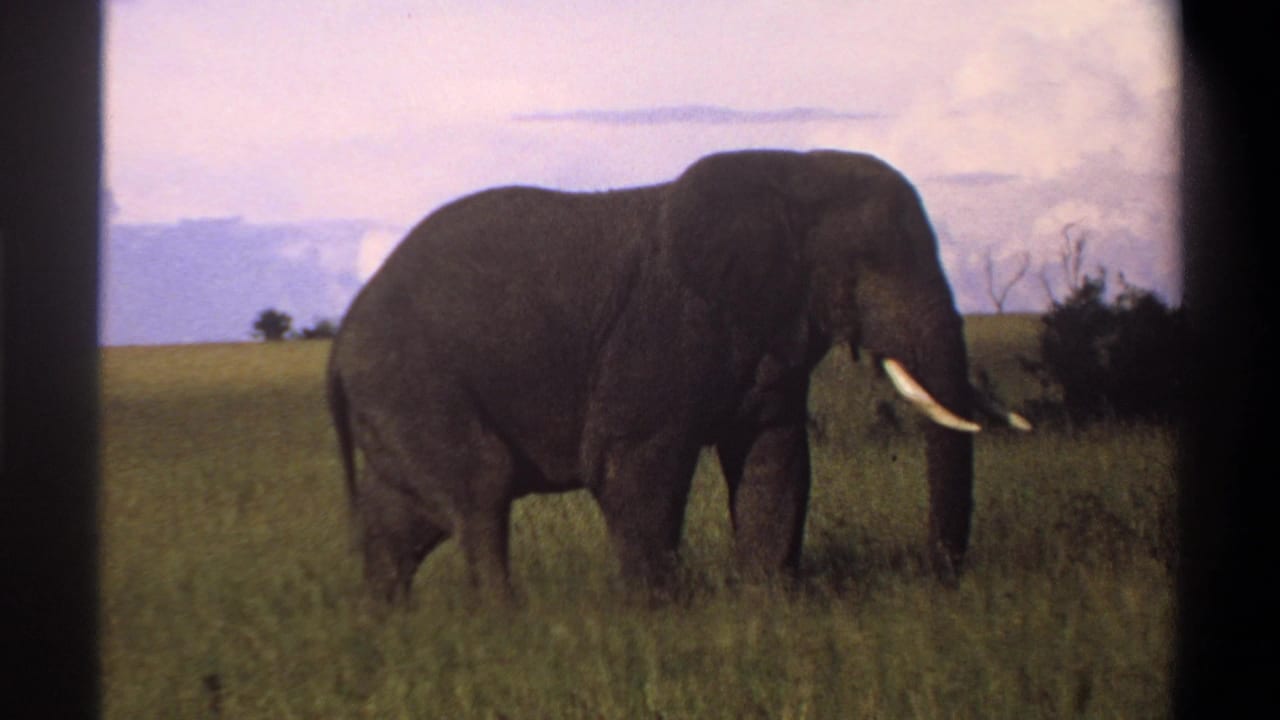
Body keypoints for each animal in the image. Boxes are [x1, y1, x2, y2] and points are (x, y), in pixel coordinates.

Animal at [328, 148, 1027, 604]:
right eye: (869, 264)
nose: (942, 581)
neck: (792, 172)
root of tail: (339, 342)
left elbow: (776, 463)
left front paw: (768, 607)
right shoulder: (660, 329)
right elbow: (636, 469)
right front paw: (658, 617)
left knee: (400, 525)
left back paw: (389, 626)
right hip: (412, 383)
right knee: (481, 489)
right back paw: (503, 624)